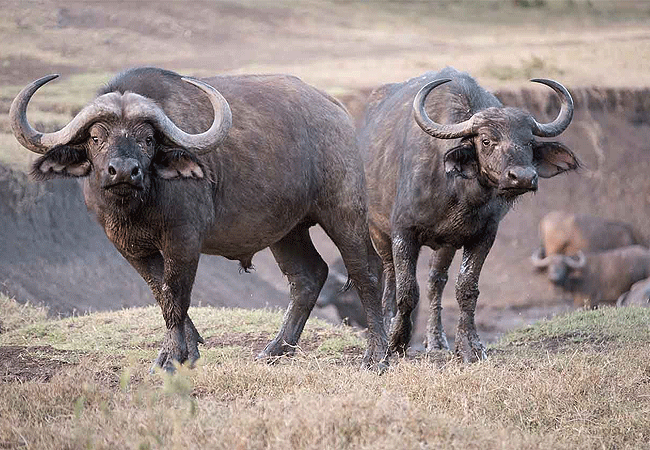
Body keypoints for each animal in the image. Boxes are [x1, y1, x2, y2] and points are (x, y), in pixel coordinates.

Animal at [11, 67, 388, 372]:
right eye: (95, 136)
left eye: (148, 139)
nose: (124, 171)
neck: (139, 203)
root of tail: (336, 111)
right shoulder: (129, 247)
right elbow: (161, 294)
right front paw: (185, 350)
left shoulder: (184, 240)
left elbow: (176, 295)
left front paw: (171, 358)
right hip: (287, 230)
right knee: (308, 276)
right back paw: (276, 349)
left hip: (343, 211)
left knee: (366, 271)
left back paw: (377, 356)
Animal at [358, 67, 580, 362]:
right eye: (486, 141)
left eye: (529, 142)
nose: (522, 177)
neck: (459, 192)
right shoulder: (402, 232)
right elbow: (406, 291)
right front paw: (396, 342)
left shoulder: (483, 236)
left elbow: (467, 289)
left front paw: (470, 346)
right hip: (378, 232)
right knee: (391, 277)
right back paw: (389, 326)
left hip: (446, 245)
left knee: (435, 281)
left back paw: (436, 340)